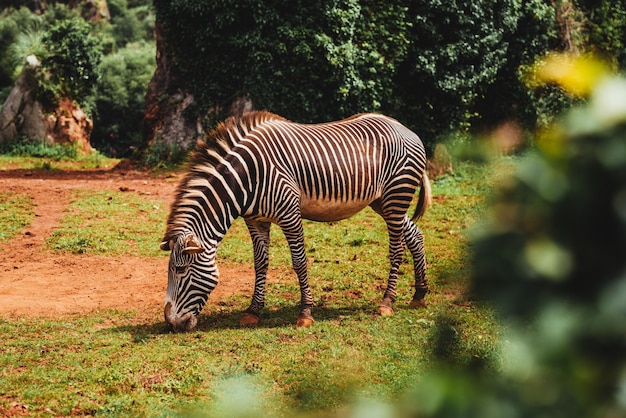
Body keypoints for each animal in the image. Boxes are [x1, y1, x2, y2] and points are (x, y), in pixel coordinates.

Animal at [161, 110, 428, 330]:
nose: (172, 324)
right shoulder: (255, 220)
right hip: (382, 201)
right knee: (415, 234)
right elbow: (260, 264)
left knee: (396, 249)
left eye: (180, 270)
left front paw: (305, 313)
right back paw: (419, 295)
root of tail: (403, 127)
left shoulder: (290, 214)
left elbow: (299, 262)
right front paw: (253, 311)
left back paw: (387, 303)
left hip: (397, 194)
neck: (247, 176)